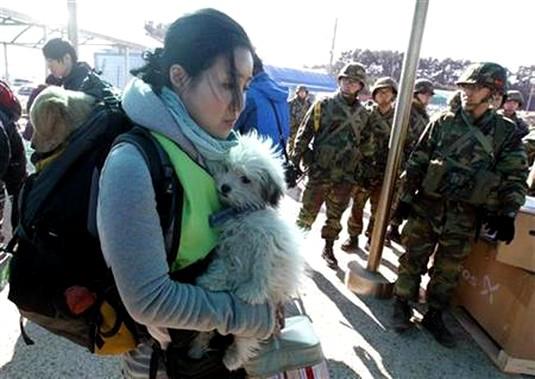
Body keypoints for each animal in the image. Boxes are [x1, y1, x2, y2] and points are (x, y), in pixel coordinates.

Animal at [189, 133, 306, 372]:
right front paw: (212, 280)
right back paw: (198, 347)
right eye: (227, 168)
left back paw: (232, 358)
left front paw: (251, 292)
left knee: (245, 340)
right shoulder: (230, 247)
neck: (244, 213)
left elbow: (262, 273)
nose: (225, 187)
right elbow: (224, 266)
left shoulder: (270, 249)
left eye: (245, 179)